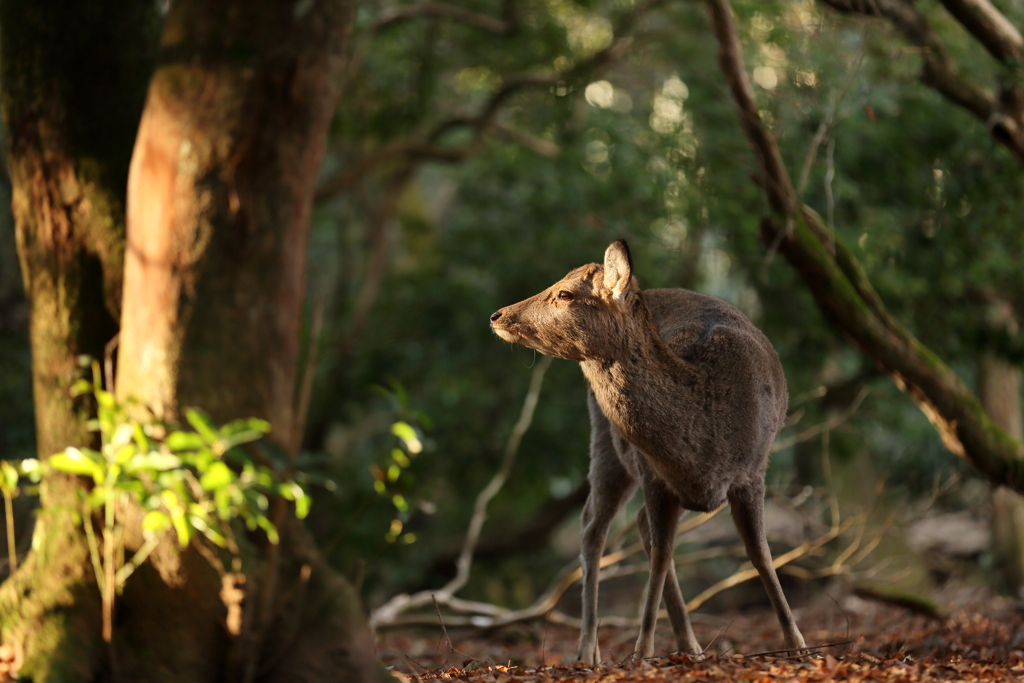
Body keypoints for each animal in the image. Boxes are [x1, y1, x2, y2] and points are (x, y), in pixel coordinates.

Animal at [487, 239, 806, 663]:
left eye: (565, 293)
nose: (497, 315)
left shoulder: (753, 471)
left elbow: (761, 554)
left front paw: (798, 645)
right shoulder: (654, 475)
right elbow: (660, 556)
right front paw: (641, 651)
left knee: (629, 523)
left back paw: (689, 644)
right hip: (607, 442)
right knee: (593, 526)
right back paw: (588, 650)